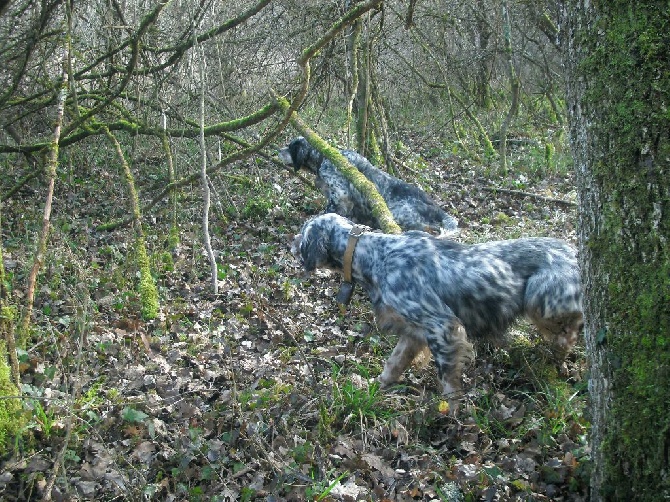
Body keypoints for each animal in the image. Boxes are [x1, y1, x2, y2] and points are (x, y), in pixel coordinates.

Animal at [276, 136, 460, 236]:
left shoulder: (341, 195)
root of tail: (436, 208)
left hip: (399, 214)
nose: (277, 150)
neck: (324, 157)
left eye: (290, 147)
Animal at [292, 214, 584, 406]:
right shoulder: (413, 332)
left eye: (303, 231)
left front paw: (451, 415)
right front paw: (376, 387)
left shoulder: (442, 325)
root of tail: (575, 252)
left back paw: (556, 356)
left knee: (570, 330)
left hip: (540, 298)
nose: (291, 241)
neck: (376, 255)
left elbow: (448, 382)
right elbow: (393, 364)